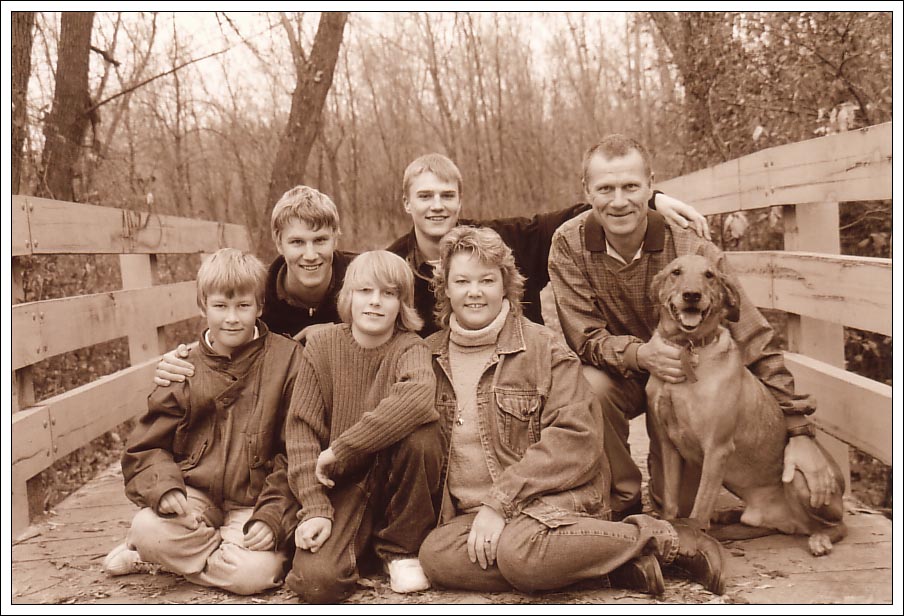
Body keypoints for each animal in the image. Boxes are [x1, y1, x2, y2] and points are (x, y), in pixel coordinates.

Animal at [645, 254, 847, 556]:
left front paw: (693, 541)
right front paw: (671, 529)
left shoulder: (717, 449)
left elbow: (699, 510)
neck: (688, 347)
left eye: (709, 275)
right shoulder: (669, 445)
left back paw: (820, 538)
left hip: (800, 481)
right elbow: (671, 503)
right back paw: (728, 520)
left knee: (837, 526)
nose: (691, 295)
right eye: (675, 272)